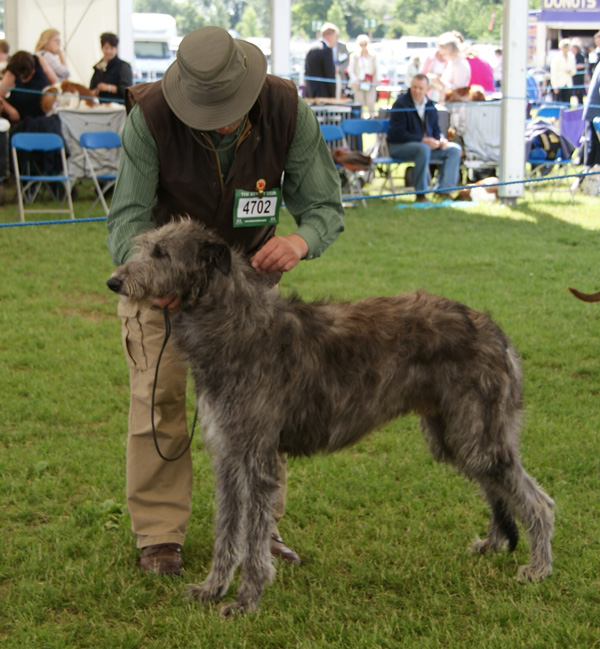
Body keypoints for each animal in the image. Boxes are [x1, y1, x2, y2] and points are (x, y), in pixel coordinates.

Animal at [108, 219, 552, 616]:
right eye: (144, 246)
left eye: (162, 253)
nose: (114, 281)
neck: (234, 324)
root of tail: (496, 331)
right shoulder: (229, 455)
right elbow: (228, 530)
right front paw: (212, 589)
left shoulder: (256, 458)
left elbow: (253, 540)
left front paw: (246, 601)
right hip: (453, 436)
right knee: (496, 486)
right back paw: (496, 544)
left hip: (478, 433)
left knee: (538, 501)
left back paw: (539, 567)